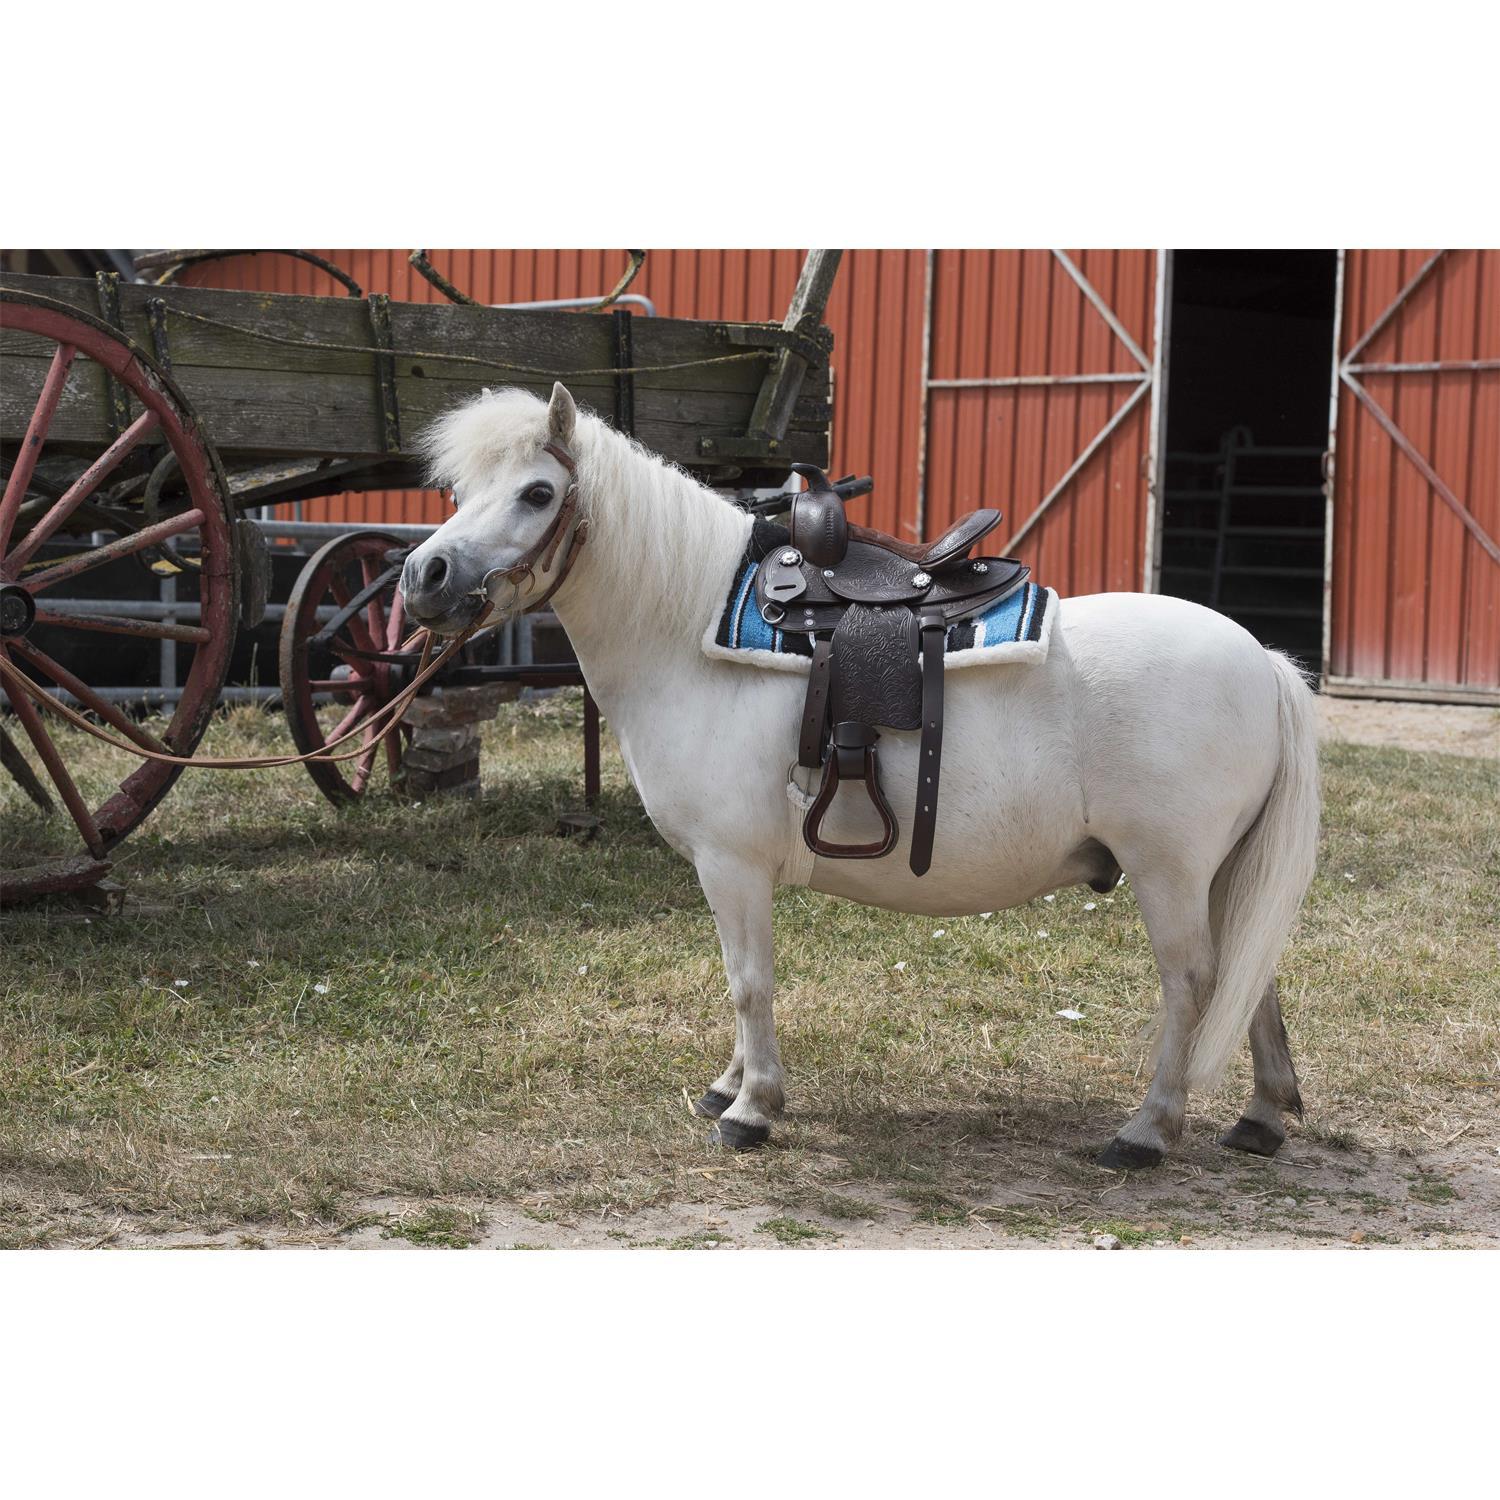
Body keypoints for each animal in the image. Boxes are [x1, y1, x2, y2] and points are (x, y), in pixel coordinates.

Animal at [399, 382, 1320, 1169]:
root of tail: (1264, 661)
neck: (689, 633)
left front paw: (752, 1111)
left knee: (1194, 981)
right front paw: (729, 1087)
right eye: (457, 492)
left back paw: (1148, 1130)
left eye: (537, 493)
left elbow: (749, 983)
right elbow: (740, 978)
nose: (422, 577)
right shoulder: (730, 873)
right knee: (1252, 973)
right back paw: (1260, 1116)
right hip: (1218, 870)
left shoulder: (732, 864)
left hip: (1170, 869)